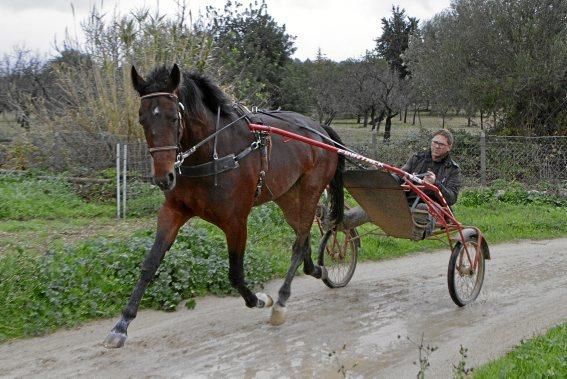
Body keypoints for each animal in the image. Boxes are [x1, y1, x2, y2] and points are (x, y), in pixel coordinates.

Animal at [103, 63, 344, 348]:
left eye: (173, 118)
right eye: (142, 119)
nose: (164, 178)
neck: (211, 152)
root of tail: (321, 130)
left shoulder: (236, 221)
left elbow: (235, 274)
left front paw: (261, 299)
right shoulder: (174, 211)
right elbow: (150, 264)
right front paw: (122, 324)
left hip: (310, 190)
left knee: (299, 242)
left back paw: (281, 300)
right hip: (286, 195)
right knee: (302, 235)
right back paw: (314, 269)